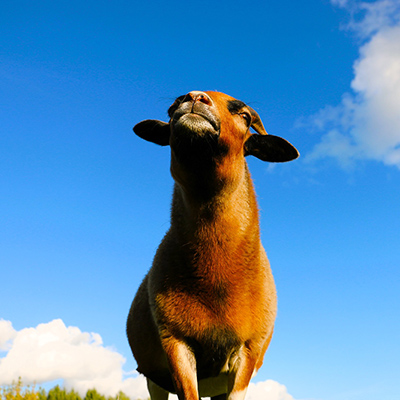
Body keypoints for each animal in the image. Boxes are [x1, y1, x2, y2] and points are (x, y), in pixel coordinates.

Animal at [126, 90, 298, 400]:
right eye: (171, 108)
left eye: (244, 116)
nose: (194, 96)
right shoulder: (175, 342)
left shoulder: (247, 353)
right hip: (154, 379)